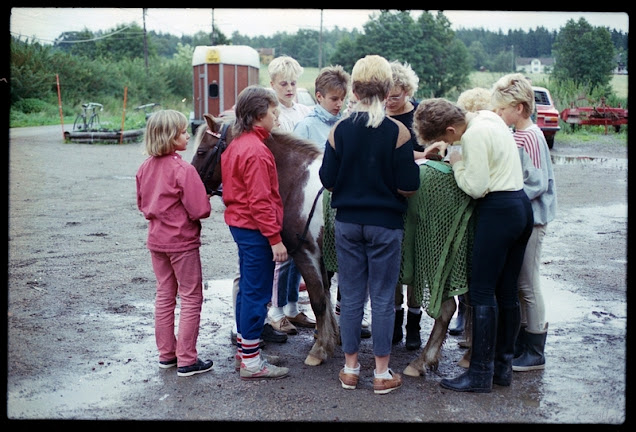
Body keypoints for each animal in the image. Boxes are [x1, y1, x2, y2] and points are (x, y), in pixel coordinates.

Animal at [191, 113, 340, 366]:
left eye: (201, 151)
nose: (191, 184)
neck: (299, 183)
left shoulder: (307, 253)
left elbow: (319, 300)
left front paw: (319, 349)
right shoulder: (321, 257)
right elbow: (326, 298)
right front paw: (331, 340)